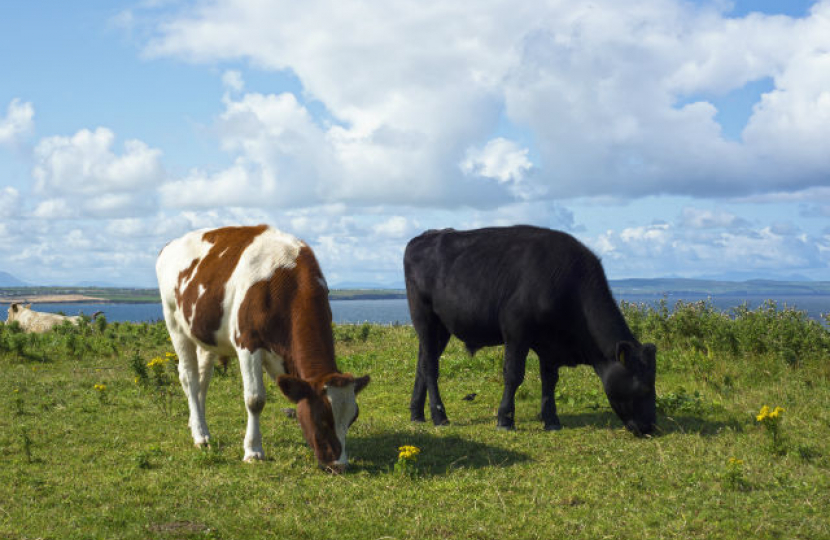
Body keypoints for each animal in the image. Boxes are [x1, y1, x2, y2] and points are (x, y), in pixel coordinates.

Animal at [158, 221, 372, 470]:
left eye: (352, 418)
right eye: (322, 418)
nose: (339, 465)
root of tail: (169, 245)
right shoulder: (248, 344)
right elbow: (255, 400)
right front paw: (253, 451)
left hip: (206, 334)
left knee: (203, 379)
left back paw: (199, 426)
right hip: (175, 323)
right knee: (189, 378)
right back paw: (200, 436)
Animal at [406, 226, 660, 436]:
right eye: (645, 386)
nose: (651, 427)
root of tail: (425, 236)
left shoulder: (549, 344)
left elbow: (550, 380)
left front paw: (552, 420)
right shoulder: (516, 330)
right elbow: (513, 374)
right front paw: (505, 420)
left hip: (441, 328)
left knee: (422, 364)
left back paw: (417, 414)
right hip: (425, 318)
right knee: (430, 368)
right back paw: (439, 415)